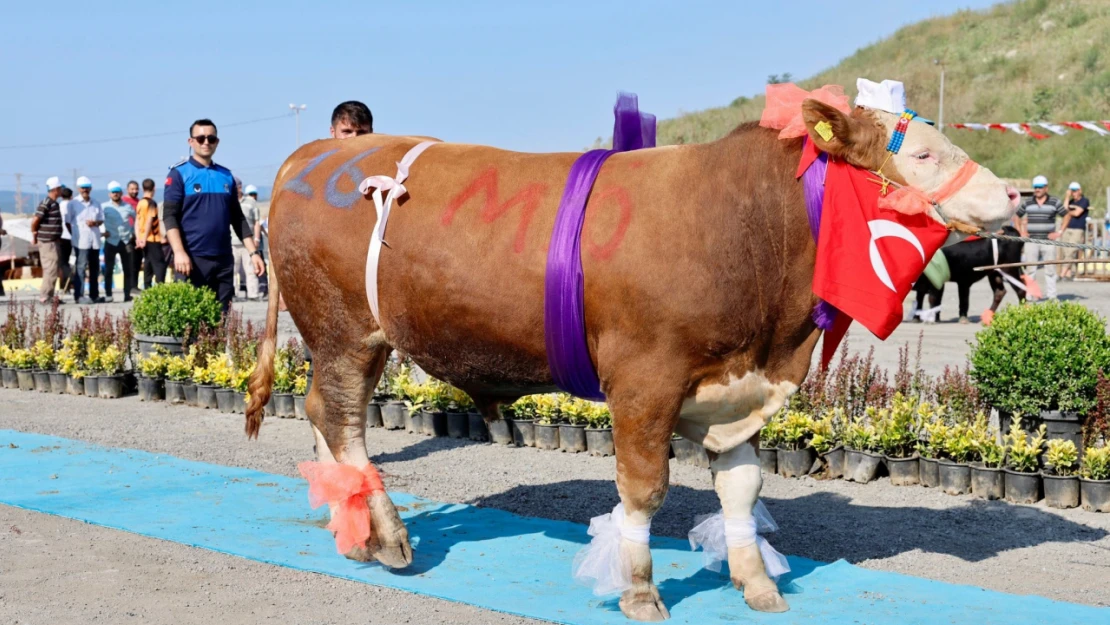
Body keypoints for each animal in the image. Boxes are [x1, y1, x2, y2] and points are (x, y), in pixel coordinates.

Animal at [247, 97, 1016, 621]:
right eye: (921, 154)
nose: (1010, 193)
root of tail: (311, 155)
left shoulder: (738, 387)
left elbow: (743, 489)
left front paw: (757, 583)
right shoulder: (646, 381)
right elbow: (643, 491)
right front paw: (640, 589)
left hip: (359, 338)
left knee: (325, 415)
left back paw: (352, 529)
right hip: (343, 330)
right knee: (339, 418)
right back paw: (388, 534)